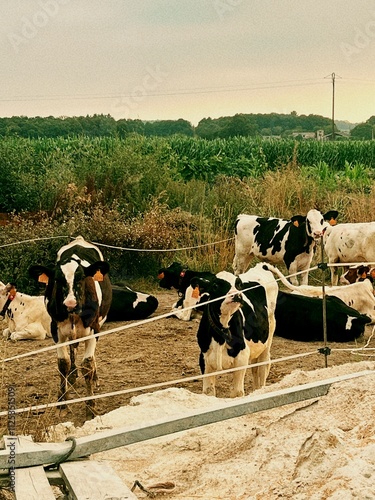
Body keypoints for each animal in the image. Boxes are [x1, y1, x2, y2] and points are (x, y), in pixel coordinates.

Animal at [29, 235, 112, 418]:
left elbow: (87, 365)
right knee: (73, 348)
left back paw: (94, 378)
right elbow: (63, 364)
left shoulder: (94, 328)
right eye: (58, 280)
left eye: (81, 278)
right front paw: (62, 400)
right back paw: (73, 376)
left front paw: (91, 406)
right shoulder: (56, 330)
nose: (70, 303)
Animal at [194, 264, 280, 396]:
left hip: (267, 339)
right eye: (215, 286)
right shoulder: (204, 359)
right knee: (255, 368)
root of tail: (260, 266)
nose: (237, 295)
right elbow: (208, 392)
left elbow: (237, 393)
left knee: (263, 367)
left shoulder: (242, 357)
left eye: (238, 284)